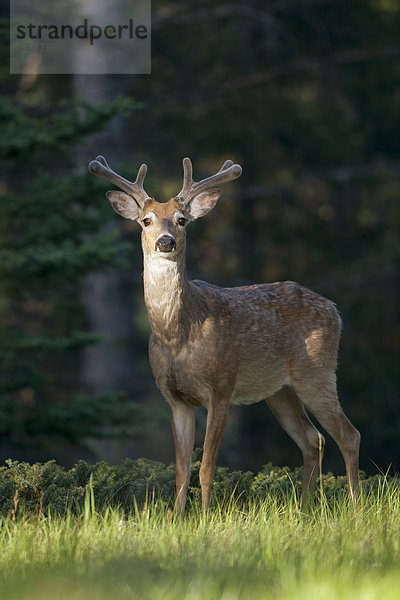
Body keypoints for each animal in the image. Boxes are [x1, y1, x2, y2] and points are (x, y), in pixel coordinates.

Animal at [89, 152, 360, 512]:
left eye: (182, 220)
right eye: (146, 220)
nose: (165, 242)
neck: (177, 336)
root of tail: (335, 311)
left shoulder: (221, 388)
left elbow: (206, 467)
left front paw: (204, 517)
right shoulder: (175, 398)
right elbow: (180, 470)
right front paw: (177, 518)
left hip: (317, 372)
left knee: (348, 435)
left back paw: (356, 508)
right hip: (280, 391)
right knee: (311, 439)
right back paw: (304, 508)